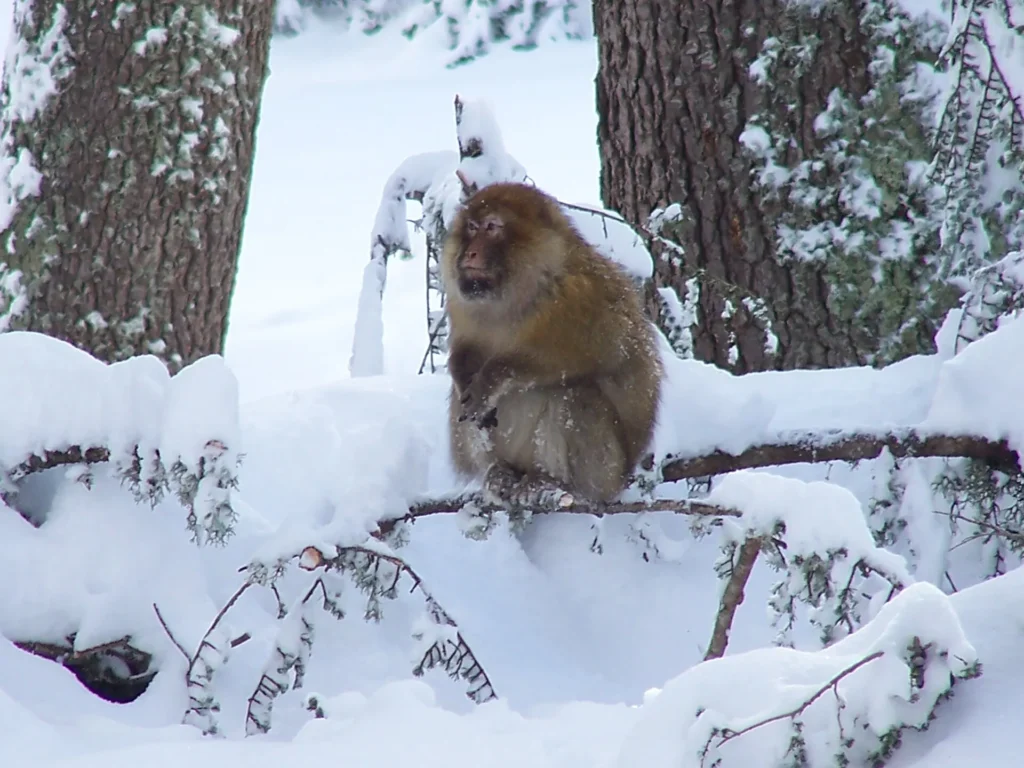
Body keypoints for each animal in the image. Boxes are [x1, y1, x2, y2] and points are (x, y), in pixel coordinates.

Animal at [441, 181, 663, 503]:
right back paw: (498, 472)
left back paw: (552, 483)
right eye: (471, 227)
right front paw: (462, 374)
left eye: (492, 227)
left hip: (605, 472)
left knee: (573, 393)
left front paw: (492, 377)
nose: (469, 253)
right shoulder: (463, 306)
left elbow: (592, 354)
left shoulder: (581, 297)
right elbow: (464, 349)